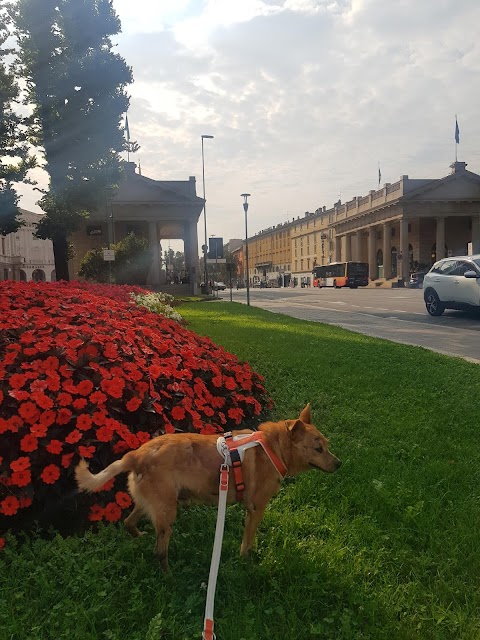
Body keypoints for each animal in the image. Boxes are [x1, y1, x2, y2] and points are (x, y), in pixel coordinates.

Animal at [75, 404, 340, 568]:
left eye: (327, 445)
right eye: (318, 449)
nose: (339, 463)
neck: (273, 447)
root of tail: (136, 455)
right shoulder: (256, 509)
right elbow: (248, 541)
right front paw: (247, 561)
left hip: (153, 503)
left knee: (129, 522)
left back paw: (139, 537)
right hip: (167, 512)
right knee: (159, 552)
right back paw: (169, 577)